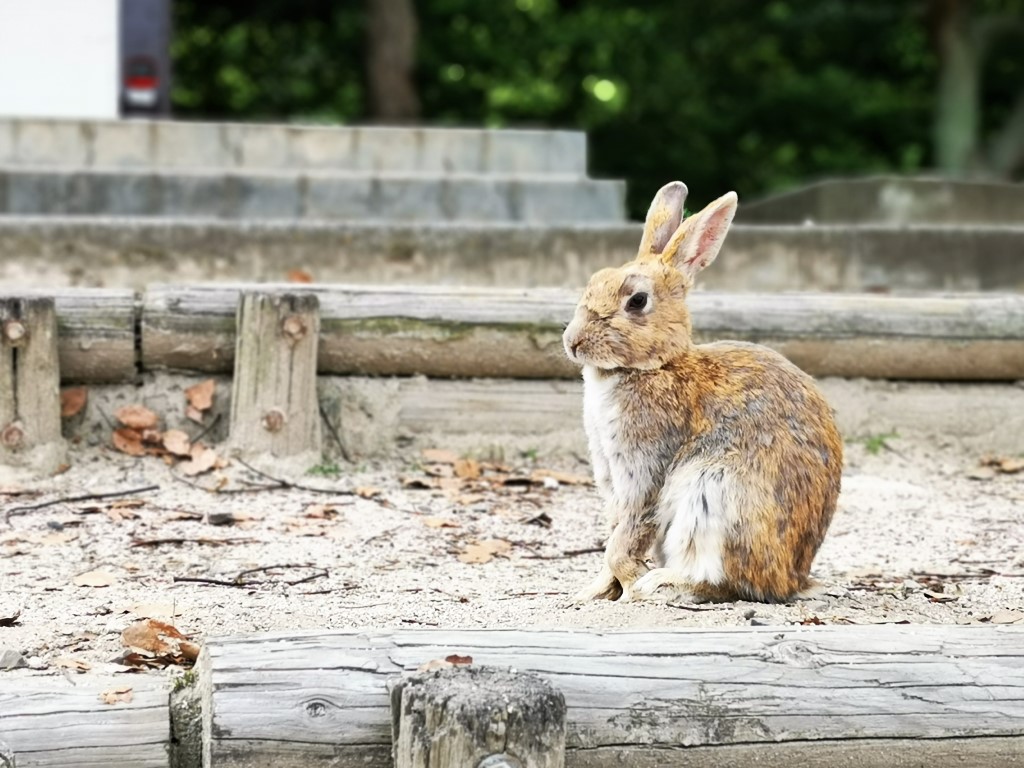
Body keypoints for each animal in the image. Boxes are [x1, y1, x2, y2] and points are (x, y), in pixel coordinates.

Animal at [565, 183, 843, 606]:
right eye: (595, 279)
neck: (656, 366)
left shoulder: (643, 471)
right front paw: (593, 592)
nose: (573, 342)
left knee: (721, 582)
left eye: (637, 300)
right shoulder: (610, 478)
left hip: (712, 498)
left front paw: (630, 587)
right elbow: (614, 538)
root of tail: (792, 580)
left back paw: (659, 584)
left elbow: (624, 538)